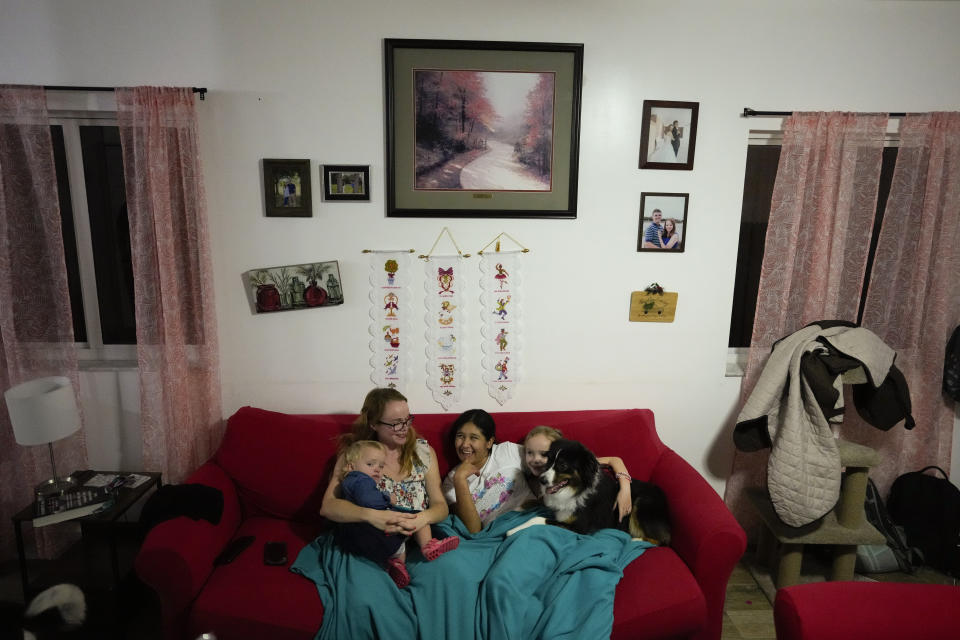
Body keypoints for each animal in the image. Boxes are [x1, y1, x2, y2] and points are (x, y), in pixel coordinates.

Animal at [506, 438, 672, 544]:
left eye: (562, 465)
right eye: (549, 461)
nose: (542, 480)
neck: (575, 490)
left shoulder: (579, 527)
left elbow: (539, 518)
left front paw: (513, 531)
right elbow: (539, 503)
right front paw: (520, 506)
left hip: (641, 504)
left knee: (662, 540)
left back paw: (635, 540)